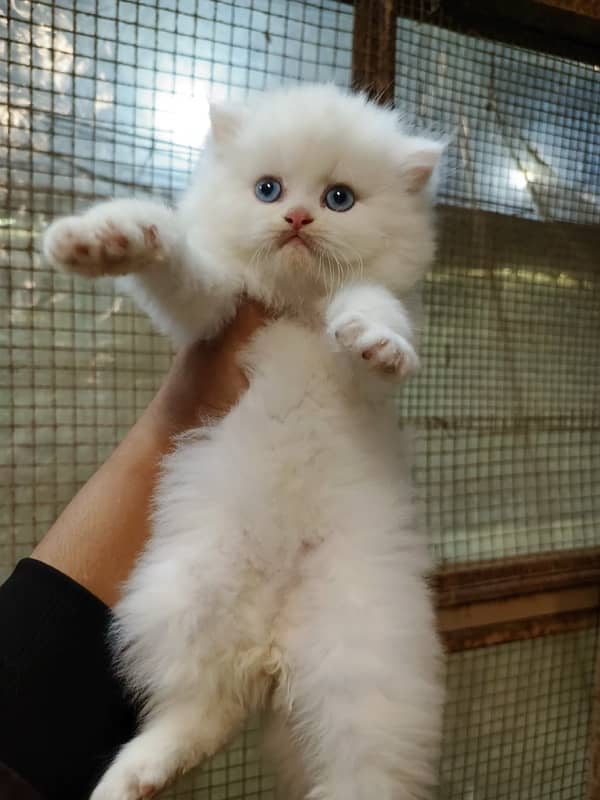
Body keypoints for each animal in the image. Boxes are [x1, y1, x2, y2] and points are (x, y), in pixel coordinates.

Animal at [43, 84, 446, 796]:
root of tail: (273, 646)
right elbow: (178, 262)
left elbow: (369, 304)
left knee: (357, 770)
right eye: (267, 189)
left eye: (338, 198)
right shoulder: (211, 310)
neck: (294, 307)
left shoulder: (368, 319)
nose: (297, 218)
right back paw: (132, 777)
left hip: (366, 663)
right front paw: (107, 239)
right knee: (202, 710)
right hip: (185, 596)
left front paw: (377, 343)